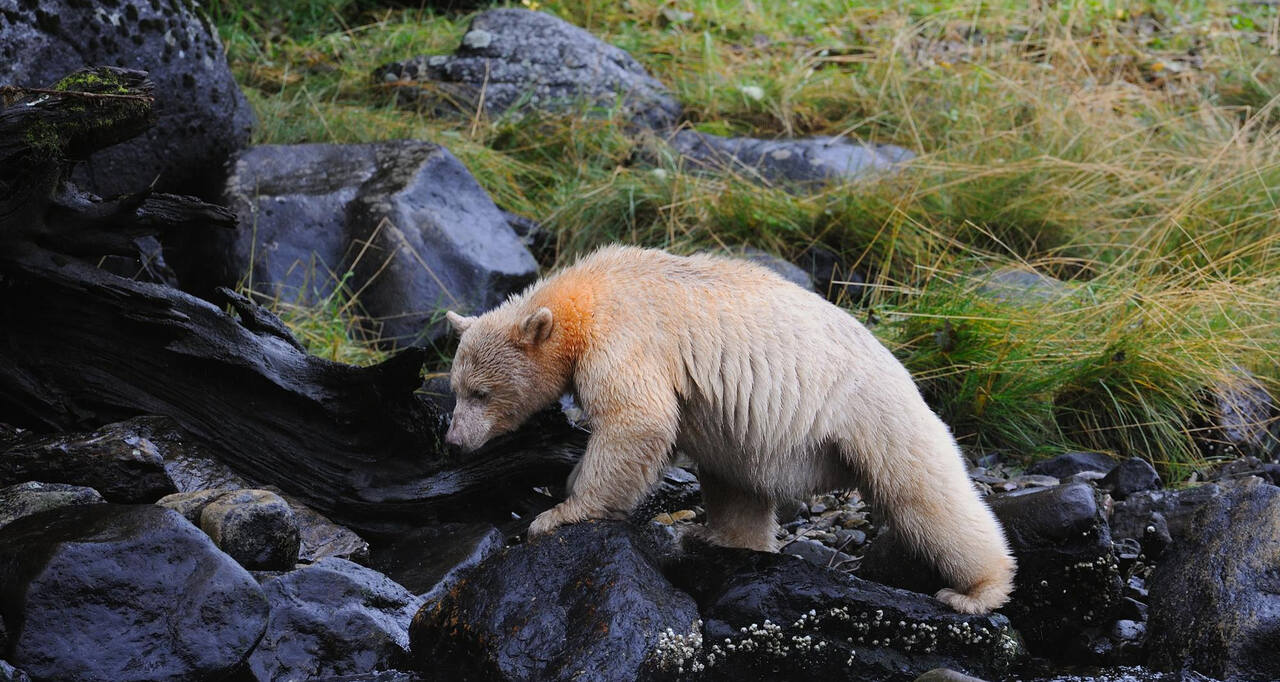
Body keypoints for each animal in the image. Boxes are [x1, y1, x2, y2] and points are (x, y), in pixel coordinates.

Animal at [443, 245, 1016, 614]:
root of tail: (904, 373)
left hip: (871, 415)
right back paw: (716, 536)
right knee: (735, 477)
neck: (582, 295)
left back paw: (977, 591)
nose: (453, 442)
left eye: (481, 393)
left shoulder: (625, 333)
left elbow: (637, 420)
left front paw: (559, 513)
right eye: (455, 388)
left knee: (926, 495)